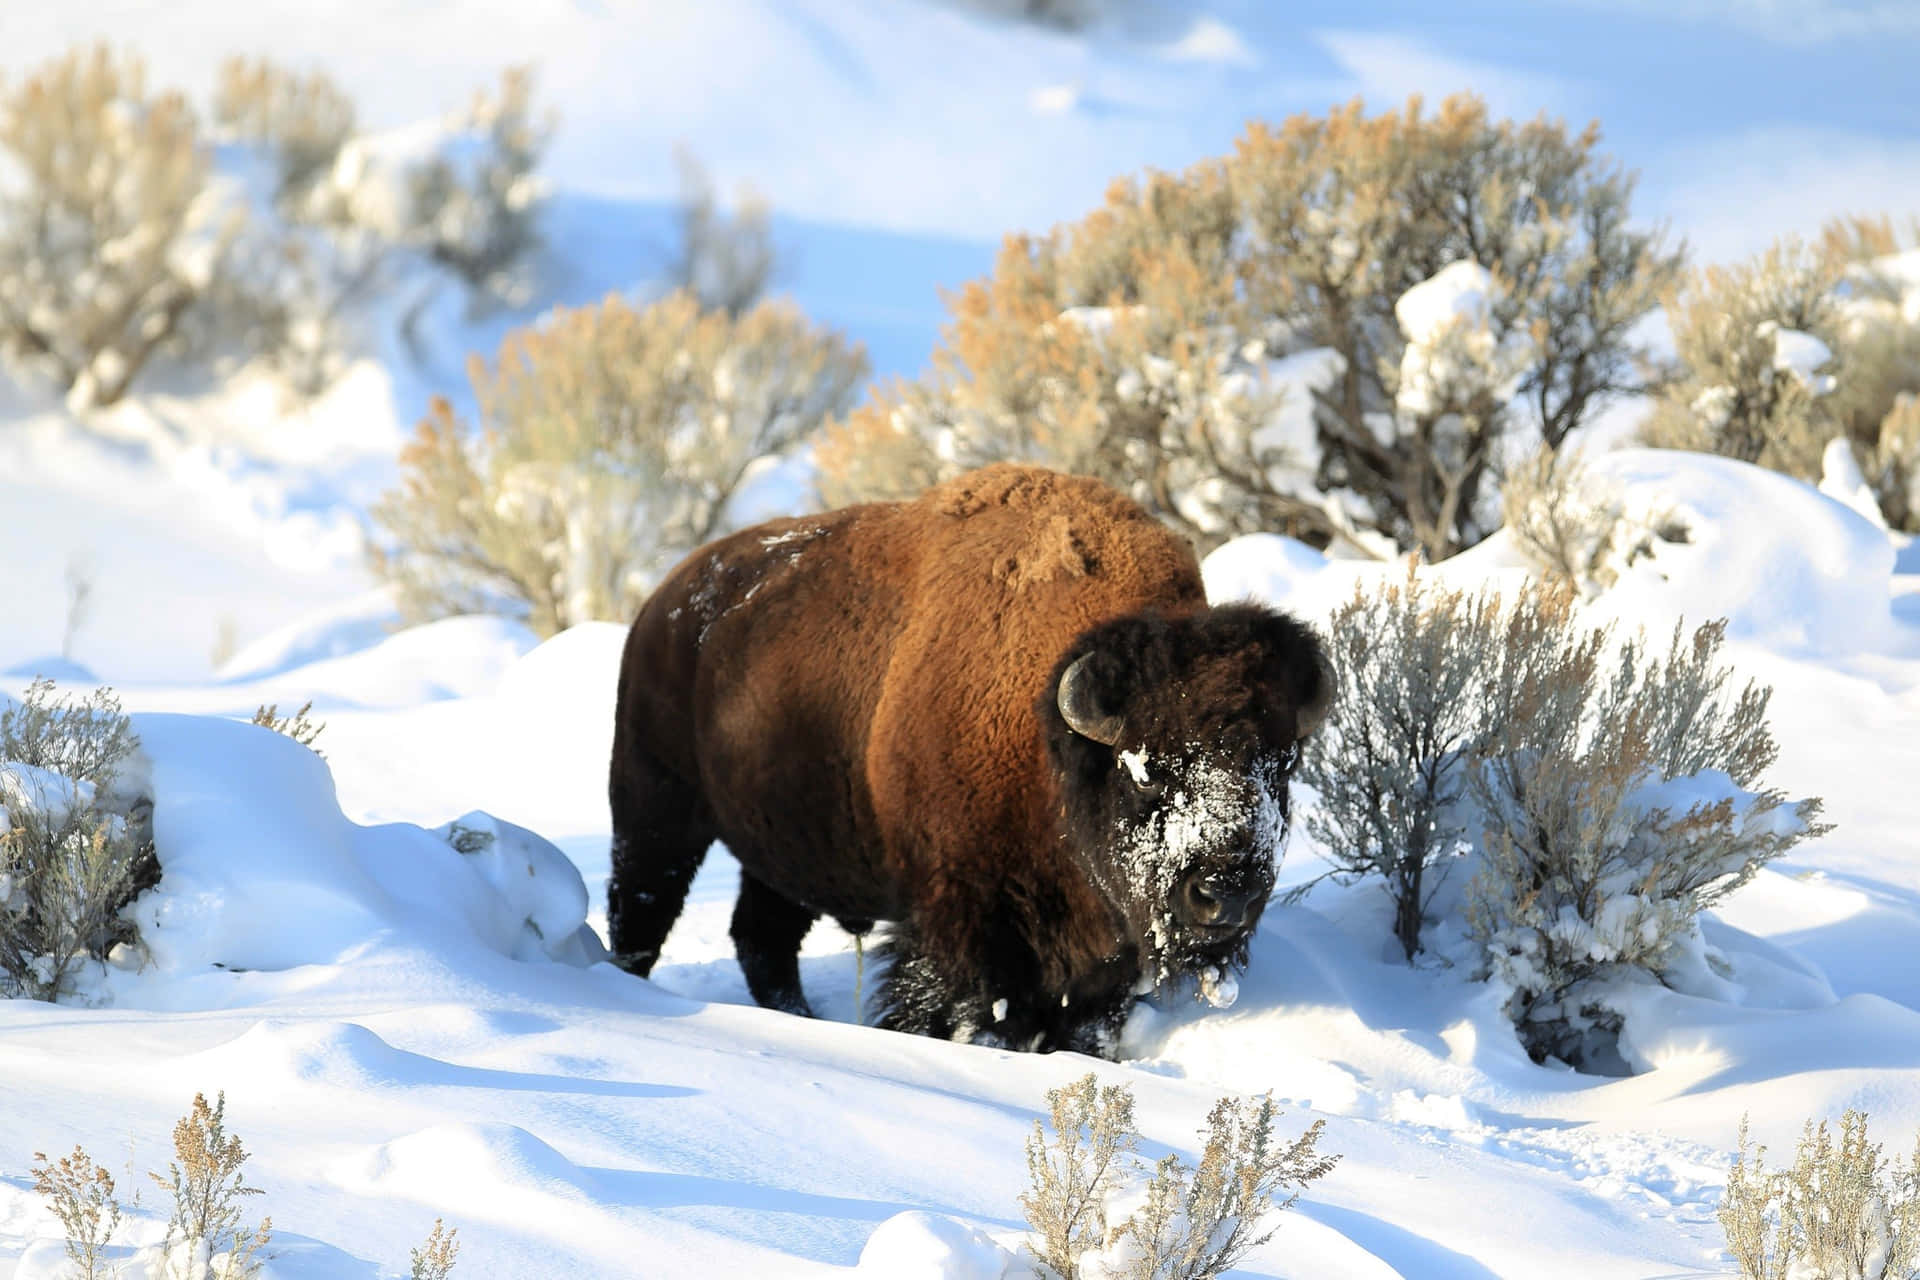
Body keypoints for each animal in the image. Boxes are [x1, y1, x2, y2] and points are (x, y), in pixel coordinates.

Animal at [606, 466, 1328, 1059]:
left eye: (1281, 764)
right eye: (1146, 769)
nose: (1226, 893)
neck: (1048, 742)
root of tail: (668, 601)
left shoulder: (1100, 965)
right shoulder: (961, 921)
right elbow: (958, 1011)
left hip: (782, 850)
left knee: (763, 938)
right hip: (656, 805)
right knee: (642, 908)